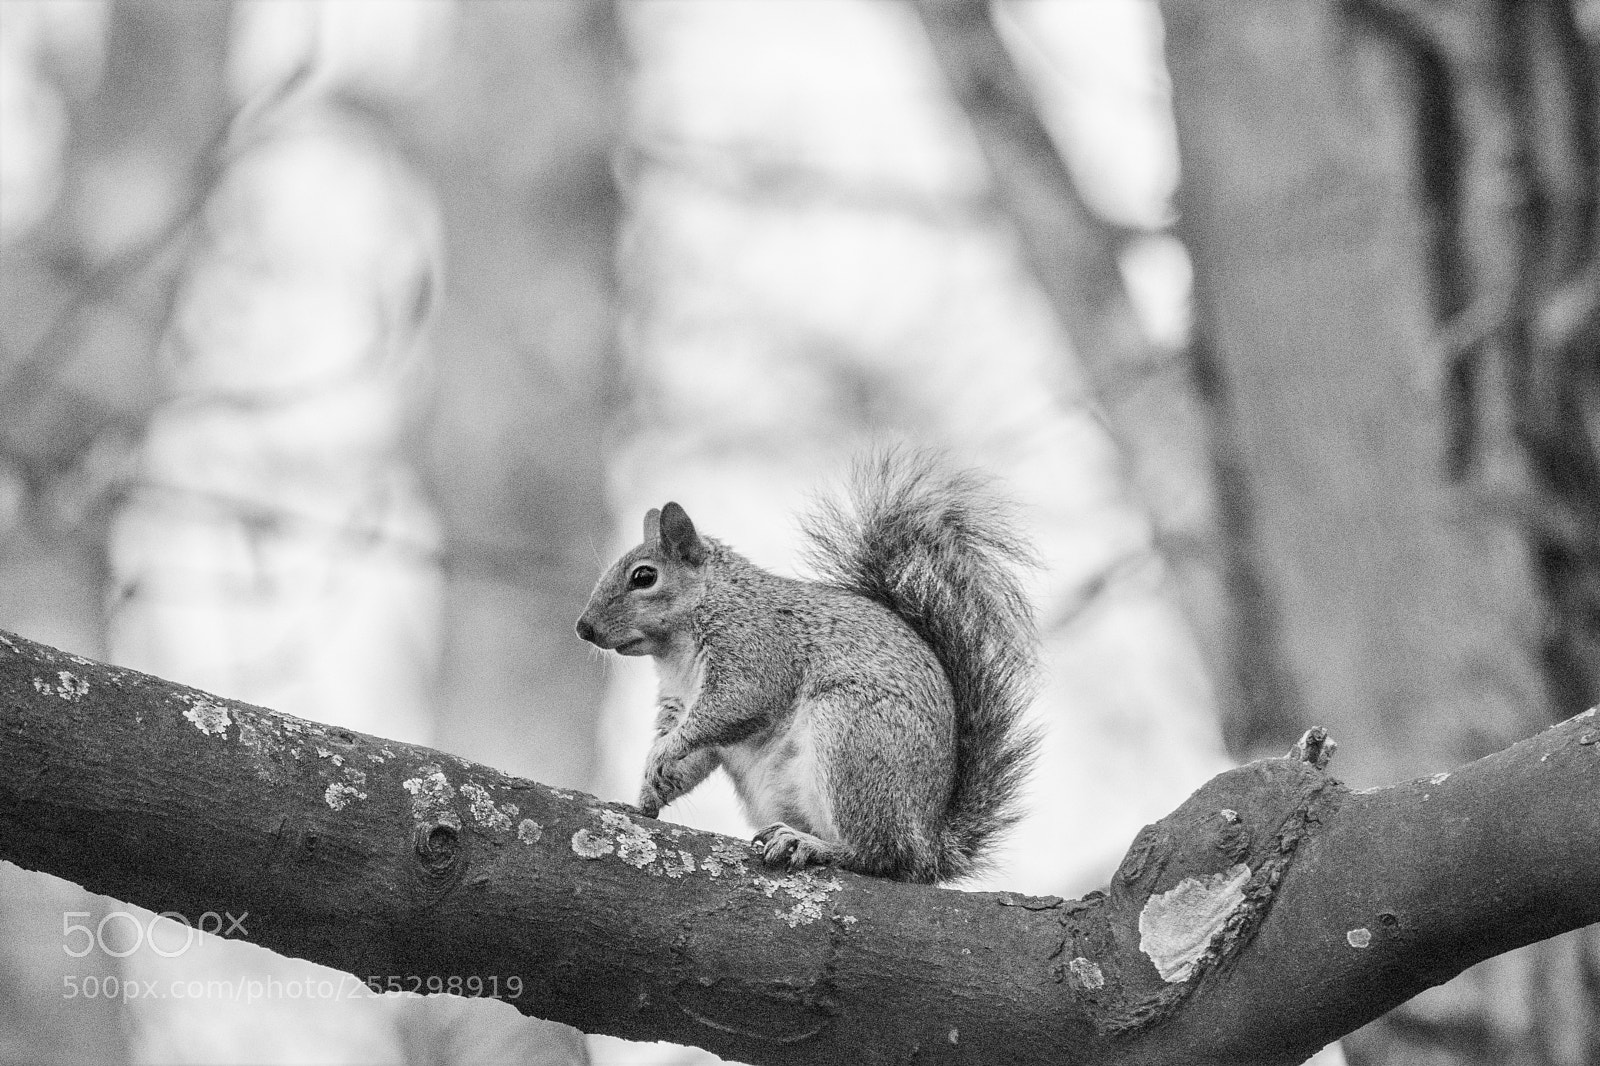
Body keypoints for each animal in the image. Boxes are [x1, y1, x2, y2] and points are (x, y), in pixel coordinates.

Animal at [575, 449, 1040, 883]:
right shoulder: (678, 698)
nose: (583, 628)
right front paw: (646, 793)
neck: (678, 647)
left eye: (644, 577)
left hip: (852, 735)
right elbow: (696, 754)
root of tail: (930, 848)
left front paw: (663, 752)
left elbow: (734, 706)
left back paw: (814, 846)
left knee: (883, 856)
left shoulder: (756, 646)